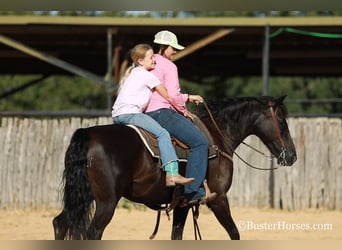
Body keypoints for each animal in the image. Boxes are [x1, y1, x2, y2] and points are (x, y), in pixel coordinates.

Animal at [52, 94, 296, 239]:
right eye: (281, 121)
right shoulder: (218, 198)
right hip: (106, 203)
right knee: (93, 232)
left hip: (82, 198)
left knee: (60, 223)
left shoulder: (183, 204)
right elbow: (234, 233)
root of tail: (87, 134)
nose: (292, 156)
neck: (217, 138)